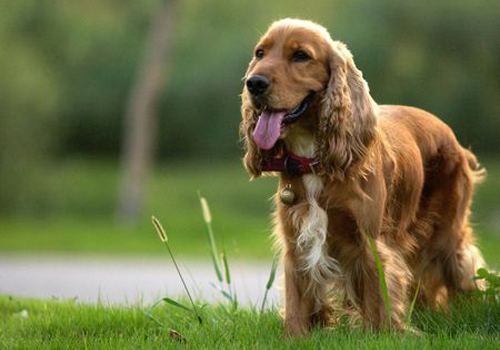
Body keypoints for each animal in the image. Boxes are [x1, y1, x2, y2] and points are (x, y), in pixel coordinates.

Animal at [240, 18, 486, 336]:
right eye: (260, 53)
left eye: (300, 56)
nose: (254, 83)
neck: (314, 160)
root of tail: (453, 139)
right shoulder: (296, 240)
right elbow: (297, 300)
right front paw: (294, 336)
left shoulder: (370, 241)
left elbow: (377, 296)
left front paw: (383, 334)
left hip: (447, 234)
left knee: (464, 272)